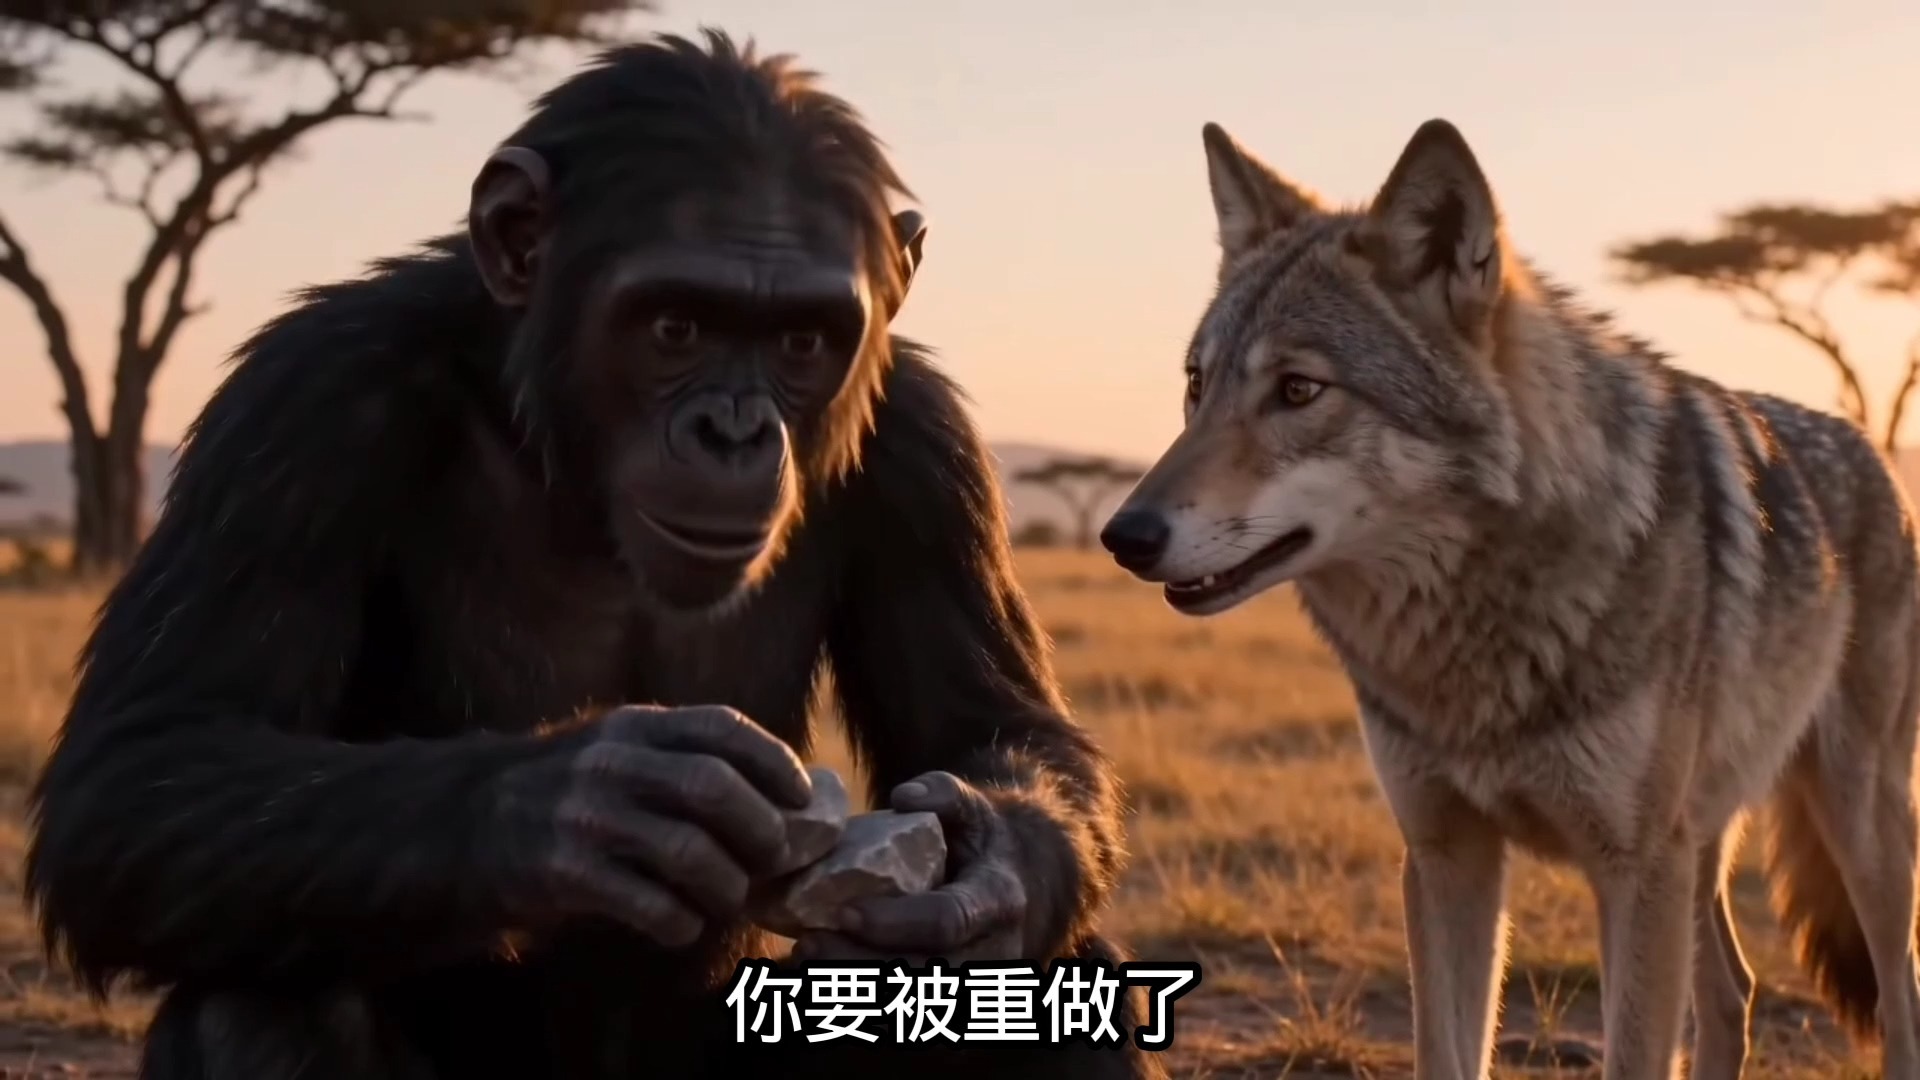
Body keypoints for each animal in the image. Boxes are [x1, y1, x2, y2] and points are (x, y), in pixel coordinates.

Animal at [23, 29, 1161, 1080]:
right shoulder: (302, 406)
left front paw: (977, 879)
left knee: (1066, 976)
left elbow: (990, 726)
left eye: (800, 340)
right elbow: (146, 760)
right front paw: (583, 800)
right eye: (675, 326)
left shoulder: (931, 449)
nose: (734, 430)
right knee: (259, 1000)